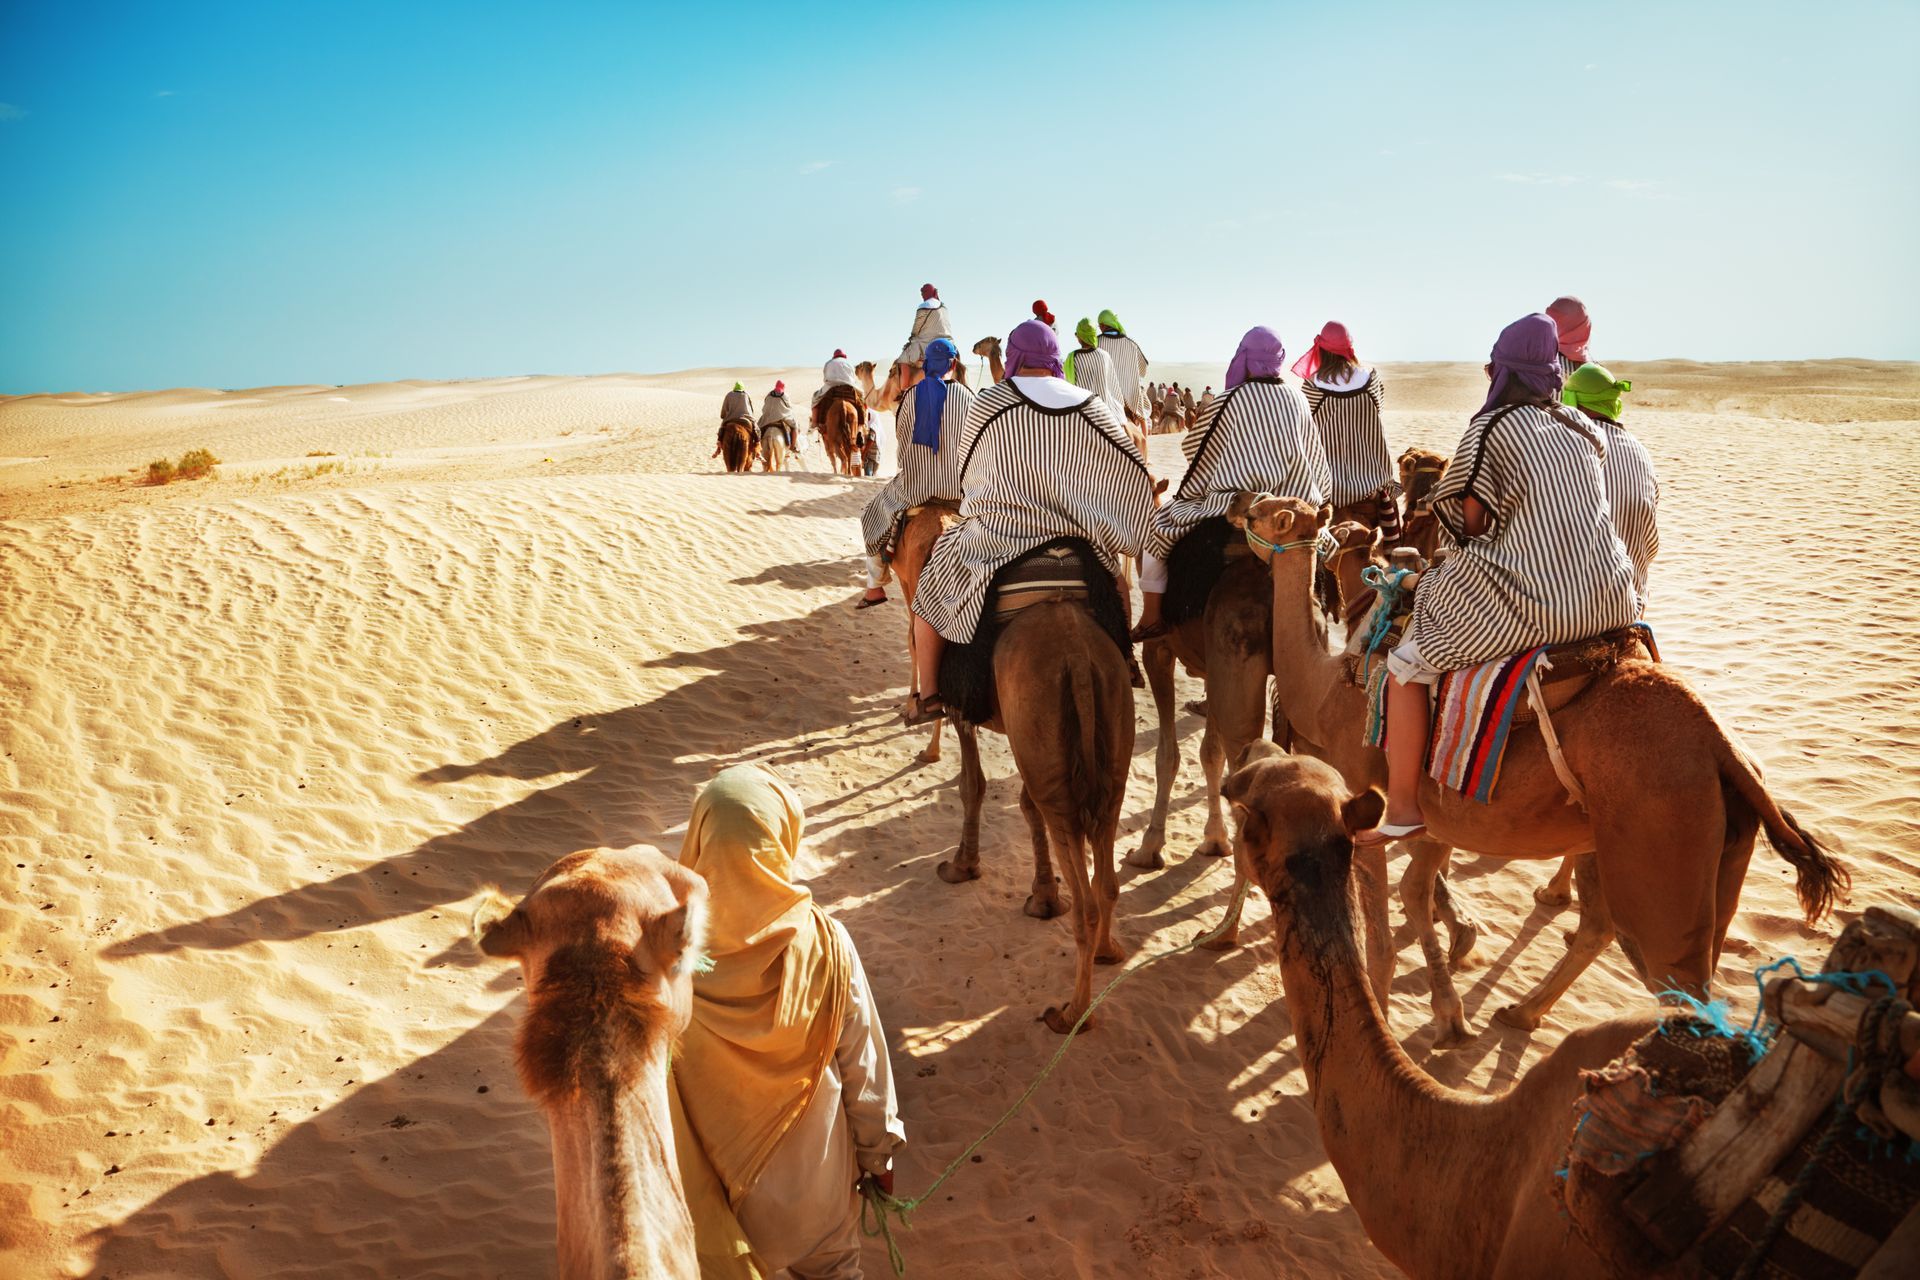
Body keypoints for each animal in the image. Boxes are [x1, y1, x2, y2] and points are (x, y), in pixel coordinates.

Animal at [935, 597, 1135, 1034]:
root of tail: (1077, 658)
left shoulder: (961, 701)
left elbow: (971, 783)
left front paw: (961, 866)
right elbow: (1025, 805)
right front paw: (1044, 899)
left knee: (1085, 902)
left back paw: (1072, 1015)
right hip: (1104, 745)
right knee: (1105, 876)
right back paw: (1107, 952)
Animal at [1223, 494, 1846, 1044]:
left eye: (1264, 512)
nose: (1235, 502)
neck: (1327, 686)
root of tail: (1721, 747)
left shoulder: (1366, 799)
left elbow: (1381, 924)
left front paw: (1388, 1008)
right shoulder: (1439, 817)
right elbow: (1416, 893)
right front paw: (1451, 1014)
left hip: (1662, 852)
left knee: (1675, 978)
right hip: (1695, 850)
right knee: (1614, 933)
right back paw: (1523, 1013)